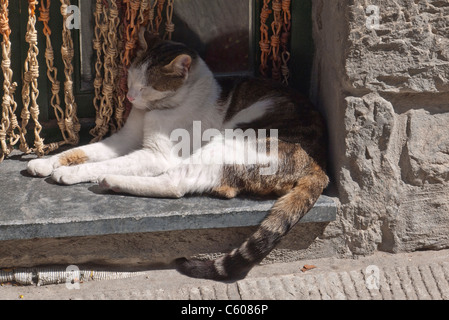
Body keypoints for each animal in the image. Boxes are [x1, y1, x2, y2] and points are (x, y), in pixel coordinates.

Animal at [28, 30, 328, 280]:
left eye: (147, 86)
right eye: (130, 78)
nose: (130, 97)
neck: (159, 107)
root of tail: (318, 166)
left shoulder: (155, 155)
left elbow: (104, 163)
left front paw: (68, 173)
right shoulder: (122, 140)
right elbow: (80, 151)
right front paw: (44, 163)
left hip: (228, 141)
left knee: (175, 185)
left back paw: (111, 180)